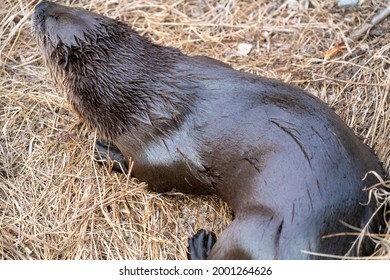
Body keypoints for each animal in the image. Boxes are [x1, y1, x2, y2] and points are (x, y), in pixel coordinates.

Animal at [32, 1, 384, 260]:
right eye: (78, 8)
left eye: (52, 19)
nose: (40, 4)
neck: (144, 97)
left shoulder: (160, 148)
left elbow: (153, 173)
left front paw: (107, 152)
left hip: (257, 233)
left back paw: (199, 246)